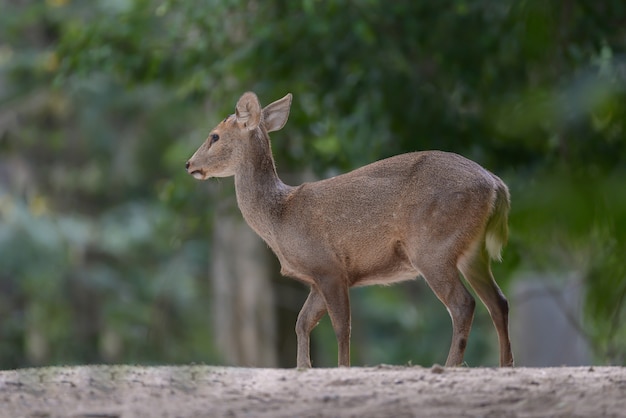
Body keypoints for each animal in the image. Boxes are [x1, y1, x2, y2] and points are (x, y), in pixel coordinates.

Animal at [184, 92, 512, 370]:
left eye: (214, 135)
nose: (189, 164)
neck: (280, 218)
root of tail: (497, 185)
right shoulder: (317, 277)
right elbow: (302, 322)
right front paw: (303, 367)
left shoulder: (329, 267)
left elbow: (341, 327)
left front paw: (342, 367)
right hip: (472, 252)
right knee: (498, 302)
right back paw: (505, 365)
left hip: (434, 246)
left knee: (463, 304)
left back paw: (450, 366)